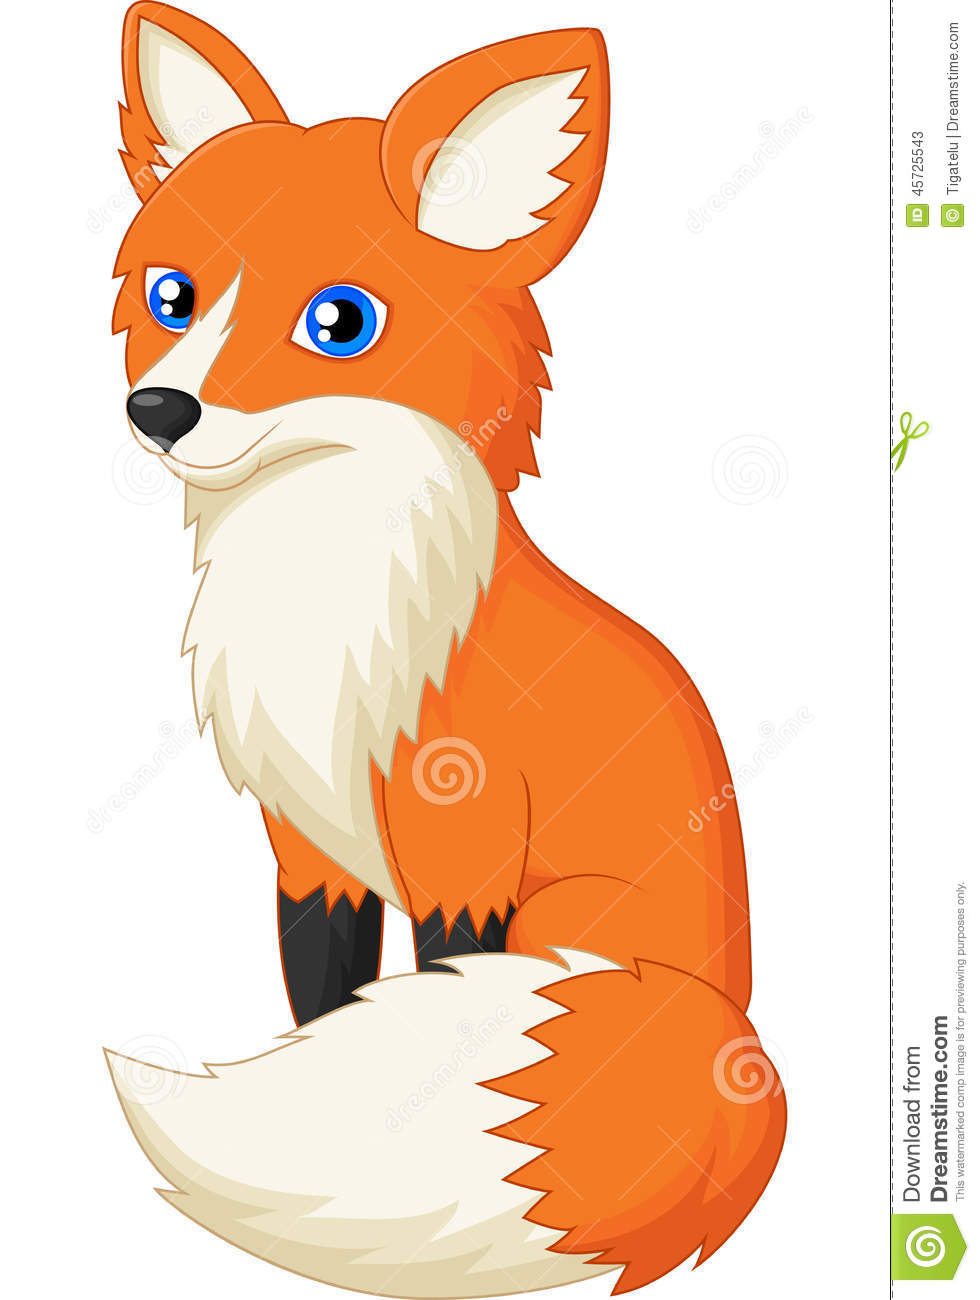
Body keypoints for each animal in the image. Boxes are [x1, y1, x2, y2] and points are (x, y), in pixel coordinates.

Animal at [107, 5, 786, 1298]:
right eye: (174, 296)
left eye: (338, 323)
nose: (157, 412)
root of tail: (726, 1029)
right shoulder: (306, 852)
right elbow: (326, 1007)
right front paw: (316, 1117)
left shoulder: (463, 850)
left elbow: (419, 1015)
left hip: (566, 931)